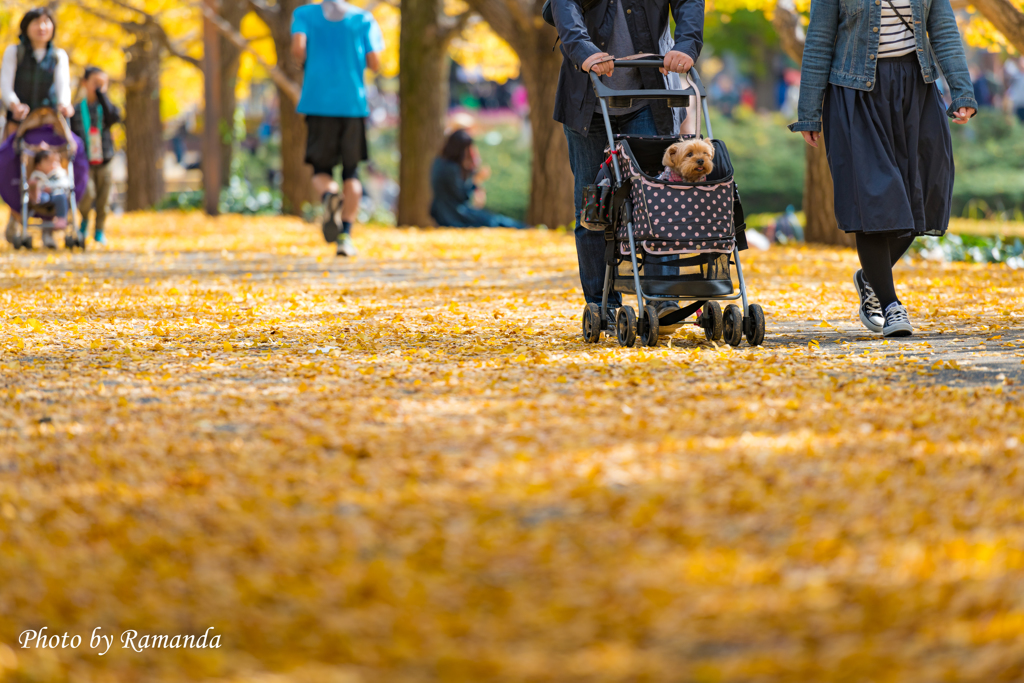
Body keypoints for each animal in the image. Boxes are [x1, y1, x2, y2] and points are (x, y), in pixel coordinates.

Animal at [581, 60, 765, 348]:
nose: (701, 161)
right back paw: (601, 319)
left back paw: (713, 317)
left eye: (705, 153)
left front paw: (744, 322)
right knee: (610, 296)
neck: (687, 179)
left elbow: (740, 306)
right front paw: (639, 324)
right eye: (689, 154)